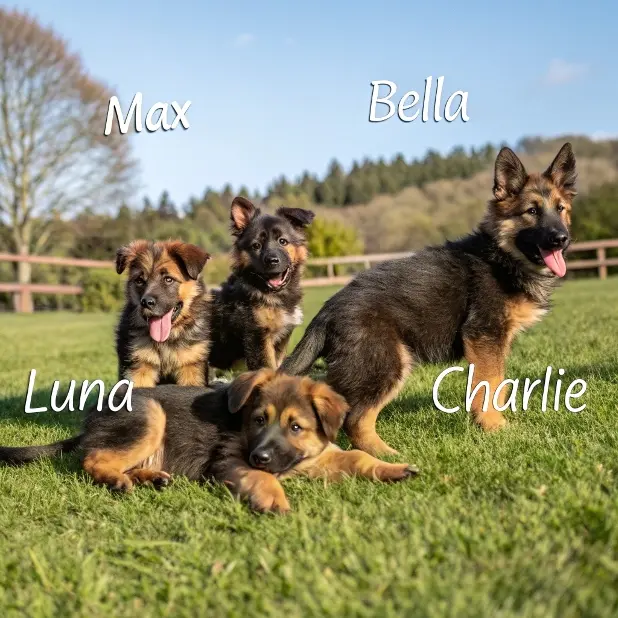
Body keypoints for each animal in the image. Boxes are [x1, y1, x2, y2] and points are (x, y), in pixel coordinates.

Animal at [0, 370, 418, 510]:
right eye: (258, 420)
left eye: (296, 427)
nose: (260, 455)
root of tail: (92, 421)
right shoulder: (230, 460)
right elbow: (261, 478)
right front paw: (274, 499)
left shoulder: (320, 455)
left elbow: (359, 458)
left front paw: (393, 468)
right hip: (150, 416)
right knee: (93, 459)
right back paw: (117, 480)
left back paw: (151, 478)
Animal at [115, 237, 212, 384]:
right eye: (139, 281)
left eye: (168, 279)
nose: (146, 303)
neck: (166, 340)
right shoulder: (138, 367)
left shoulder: (191, 367)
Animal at [208, 197, 316, 370]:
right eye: (256, 246)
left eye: (283, 241)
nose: (272, 261)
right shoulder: (257, 335)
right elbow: (267, 368)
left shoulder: (281, 338)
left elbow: (277, 366)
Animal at [282, 143, 576, 452]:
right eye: (531, 211)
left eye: (560, 209)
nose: (562, 239)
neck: (502, 256)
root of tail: (328, 309)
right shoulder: (484, 334)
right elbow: (491, 382)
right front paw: (494, 427)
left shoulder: (496, 341)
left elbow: (498, 383)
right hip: (386, 363)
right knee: (356, 420)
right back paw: (388, 457)